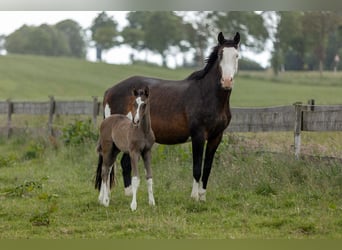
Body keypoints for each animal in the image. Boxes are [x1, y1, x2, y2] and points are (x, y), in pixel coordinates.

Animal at [101, 32, 240, 202]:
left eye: (236, 55)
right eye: (221, 55)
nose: (226, 81)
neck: (206, 95)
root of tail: (110, 90)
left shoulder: (216, 137)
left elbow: (207, 167)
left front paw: (202, 197)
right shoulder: (198, 136)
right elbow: (197, 167)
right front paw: (194, 197)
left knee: (123, 163)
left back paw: (128, 195)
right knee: (109, 165)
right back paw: (107, 197)